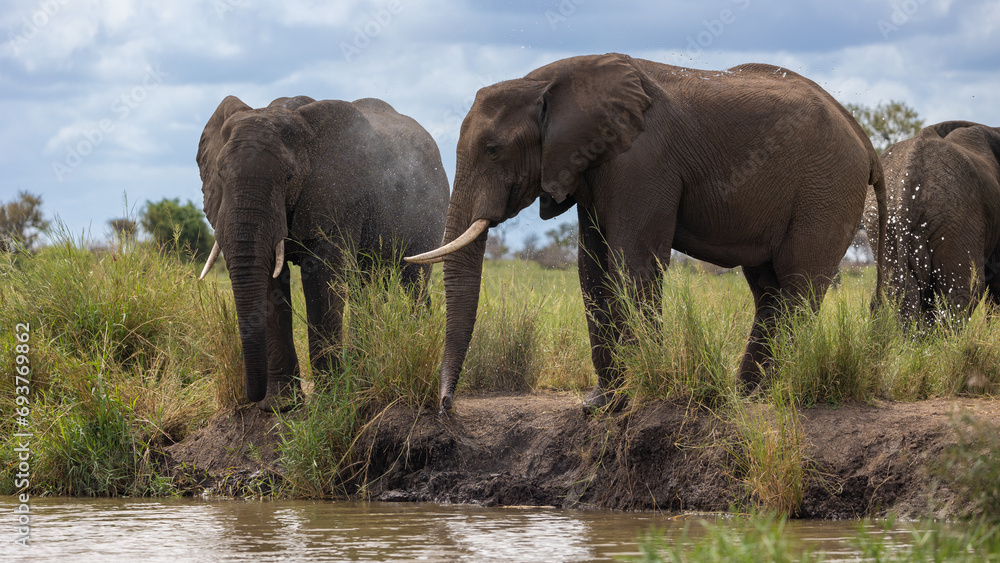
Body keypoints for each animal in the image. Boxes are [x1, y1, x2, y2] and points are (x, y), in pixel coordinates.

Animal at [197, 95, 449, 411]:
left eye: (288, 177)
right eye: (219, 174)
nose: (250, 396)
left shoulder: (340, 198)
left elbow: (322, 278)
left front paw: (330, 402)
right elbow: (269, 283)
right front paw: (280, 406)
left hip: (430, 212)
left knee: (413, 280)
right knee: (367, 285)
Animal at [407, 53, 886, 413]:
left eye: (493, 150)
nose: (446, 407)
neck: (543, 82)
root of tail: (865, 141)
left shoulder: (642, 159)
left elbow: (632, 260)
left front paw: (644, 393)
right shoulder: (594, 165)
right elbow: (592, 268)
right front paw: (600, 405)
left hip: (826, 189)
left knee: (798, 282)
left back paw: (773, 393)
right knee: (769, 288)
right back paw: (747, 395)